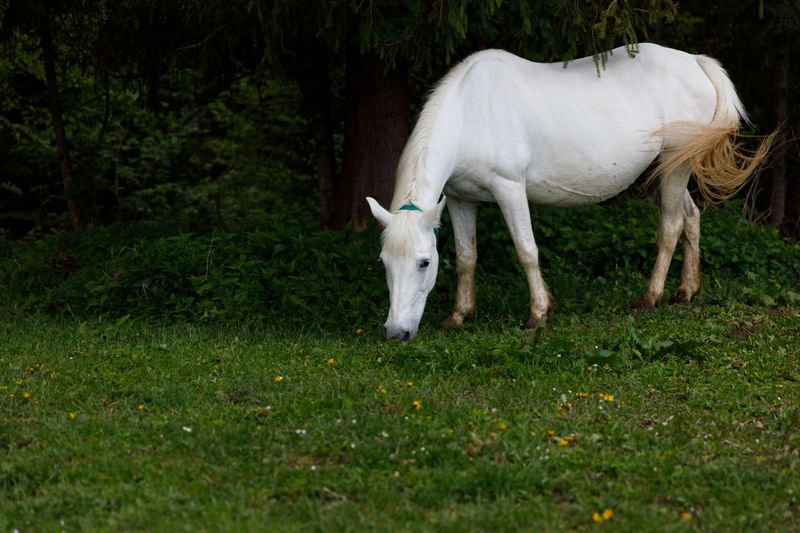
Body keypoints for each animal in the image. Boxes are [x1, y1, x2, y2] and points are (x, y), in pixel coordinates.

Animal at [367, 43, 773, 341]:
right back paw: (686, 291)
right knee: (690, 216)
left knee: (670, 226)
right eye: (384, 263)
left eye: (423, 262)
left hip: (674, 165)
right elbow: (467, 256)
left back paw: (649, 298)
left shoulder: (509, 189)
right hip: (673, 167)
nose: (396, 333)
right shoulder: (461, 199)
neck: (471, 113)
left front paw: (538, 314)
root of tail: (694, 62)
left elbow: (526, 250)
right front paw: (459, 315)